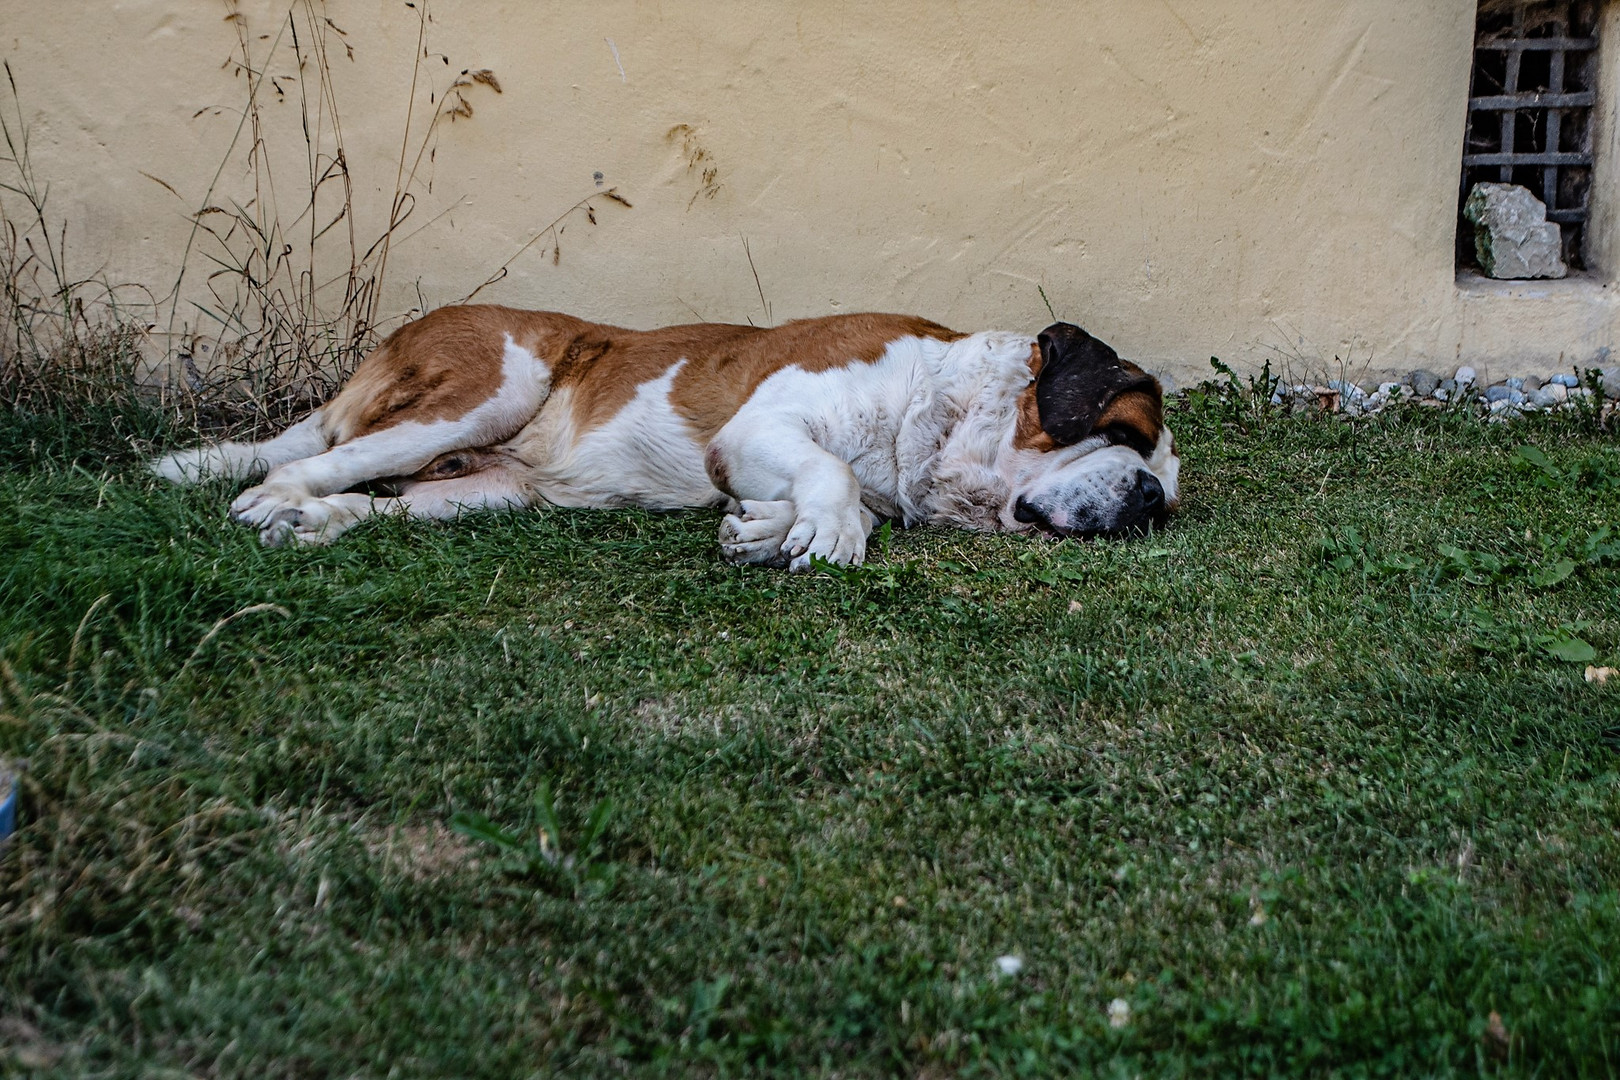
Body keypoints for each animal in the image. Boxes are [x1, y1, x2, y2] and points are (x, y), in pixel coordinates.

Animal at [152, 306, 1179, 569]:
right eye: (1128, 437)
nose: (1153, 500)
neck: (944, 403)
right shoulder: (762, 424)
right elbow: (835, 475)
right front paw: (823, 530)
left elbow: (829, 495)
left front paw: (765, 531)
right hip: (483, 390)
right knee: (323, 459)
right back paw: (274, 500)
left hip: (492, 488)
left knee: (390, 500)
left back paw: (318, 523)